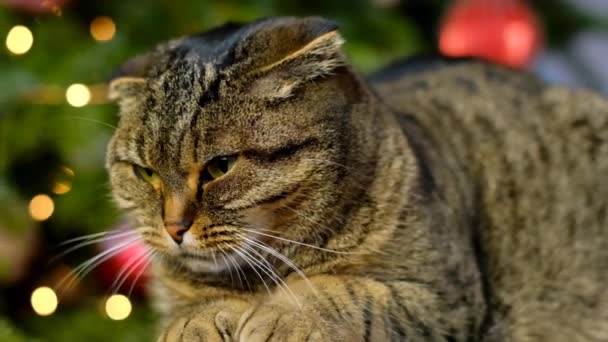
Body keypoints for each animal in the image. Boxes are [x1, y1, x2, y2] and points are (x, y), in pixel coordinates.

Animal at [105, 15, 608, 340]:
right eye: (145, 173)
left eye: (219, 167)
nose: (173, 228)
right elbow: (192, 307)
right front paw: (195, 322)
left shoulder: (443, 297)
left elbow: (338, 290)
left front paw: (278, 315)